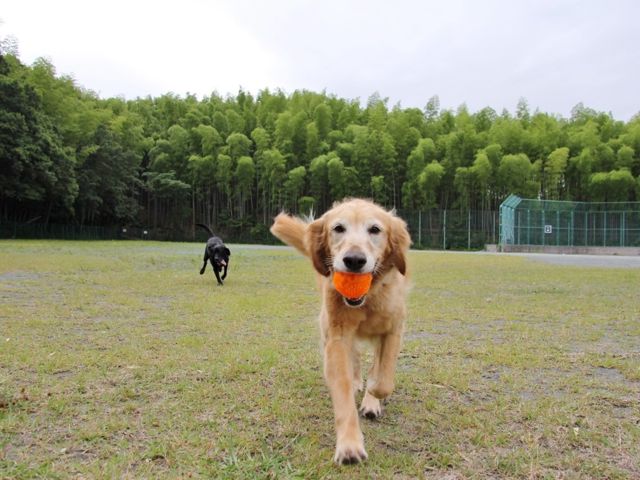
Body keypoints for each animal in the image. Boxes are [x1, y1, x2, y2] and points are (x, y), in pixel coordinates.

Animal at [270, 198, 411, 465]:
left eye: (375, 229)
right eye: (338, 228)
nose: (354, 260)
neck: (367, 300)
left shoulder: (393, 330)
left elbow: (383, 379)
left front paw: (374, 395)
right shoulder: (336, 338)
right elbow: (343, 390)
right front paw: (349, 445)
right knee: (354, 359)